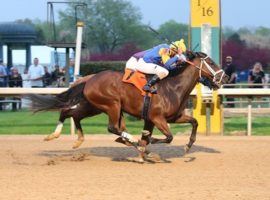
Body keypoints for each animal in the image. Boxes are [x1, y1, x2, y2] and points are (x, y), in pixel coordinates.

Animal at [30, 52, 228, 161]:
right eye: (211, 62)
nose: (225, 77)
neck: (173, 87)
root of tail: (89, 79)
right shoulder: (157, 117)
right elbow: (167, 137)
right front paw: (146, 146)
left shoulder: (170, 117)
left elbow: (194, 122)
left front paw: (187, 146)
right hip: (111, 105)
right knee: (112, 127)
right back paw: (129, 139)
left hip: (93, 106)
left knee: (71, 113)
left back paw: (68, 138)